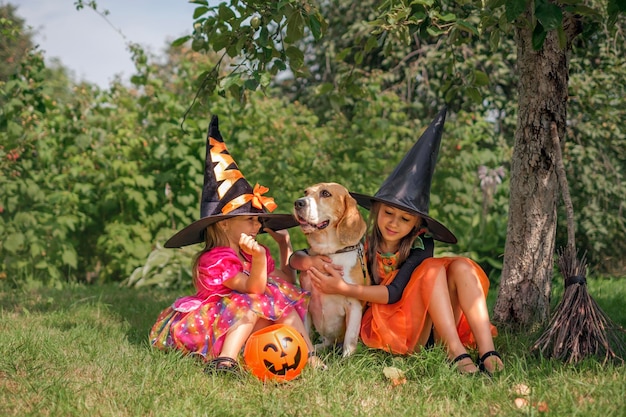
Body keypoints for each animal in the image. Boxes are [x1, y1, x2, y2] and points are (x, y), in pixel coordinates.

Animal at [294, 180, 368, 356]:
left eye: (325, 193)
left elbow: (349, 342)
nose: (298, 202)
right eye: (306, 192)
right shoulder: (306, 300)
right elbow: (305, 332)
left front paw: (346, 360)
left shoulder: (354, 305)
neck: (331, 252)